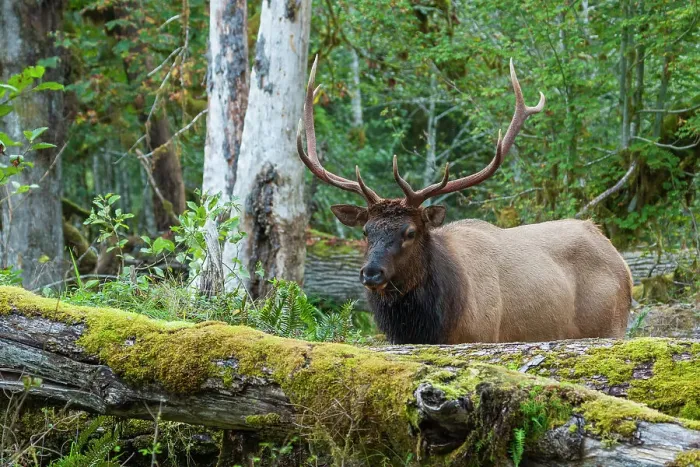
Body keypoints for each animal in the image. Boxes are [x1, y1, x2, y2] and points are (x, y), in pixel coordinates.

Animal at [296, 57, 632, 345]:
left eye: (410, 232)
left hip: (611, 326)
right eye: (366, 232)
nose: (371, 272)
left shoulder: (483, 336)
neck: (433, 326)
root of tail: (622, 264)